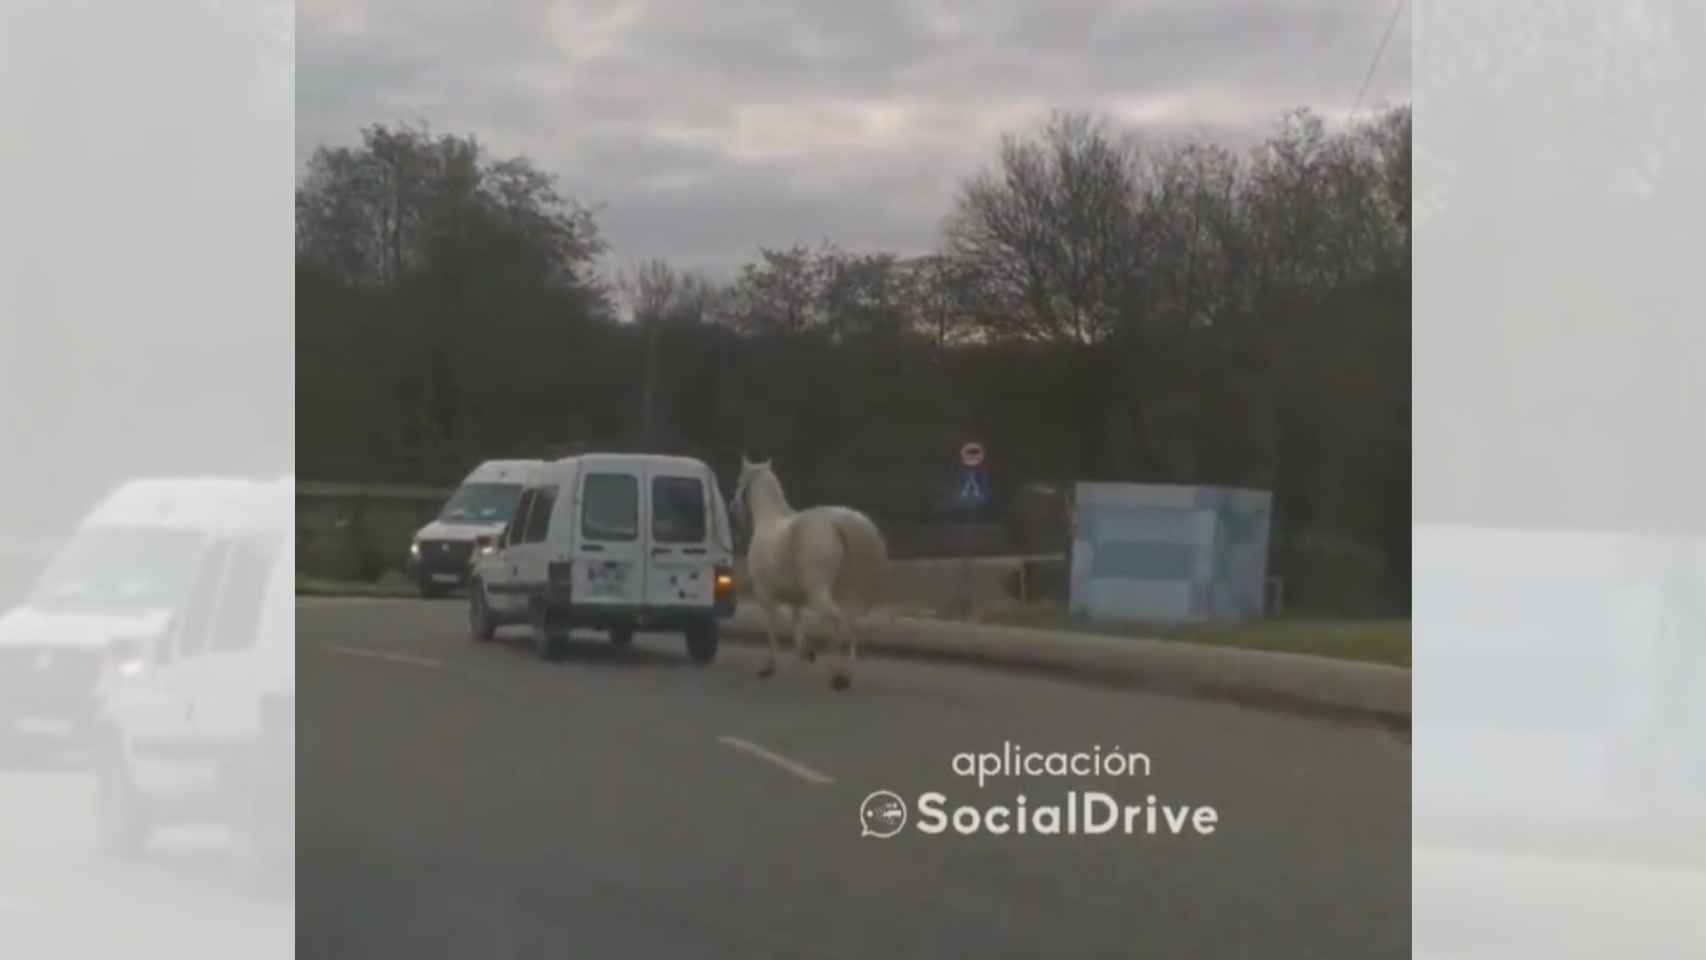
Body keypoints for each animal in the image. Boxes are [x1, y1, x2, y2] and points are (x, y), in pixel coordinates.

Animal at [726, 456, 887, 692]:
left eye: (739, 482)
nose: (733, 510)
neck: (769, 520)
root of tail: (837, 525)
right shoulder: (797, 599)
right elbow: (796, 625)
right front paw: (805, 653)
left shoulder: (765, 596)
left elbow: (772, 628)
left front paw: (769, 666)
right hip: (846, 592)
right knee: (852, 625)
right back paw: (844, 674)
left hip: (819, 594)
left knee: (840, 623)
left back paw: (838, 675)